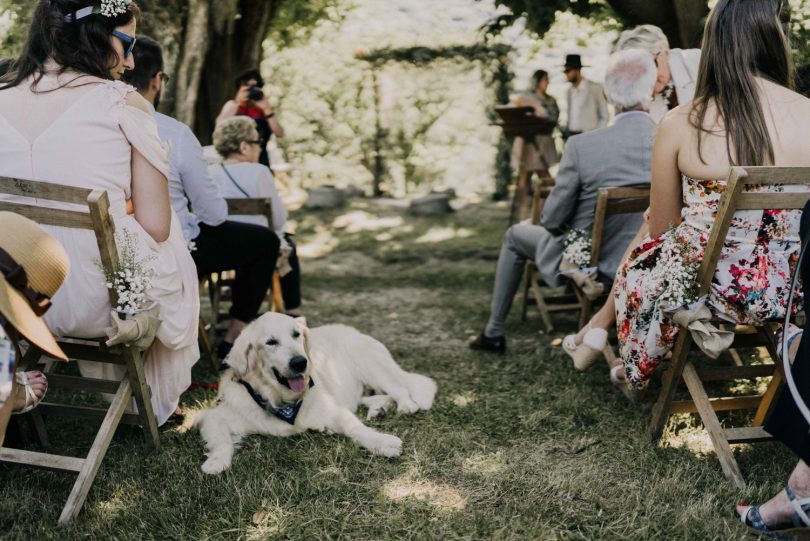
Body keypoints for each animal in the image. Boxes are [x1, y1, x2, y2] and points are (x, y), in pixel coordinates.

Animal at [193, 312, 436, 472]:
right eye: (271, 342)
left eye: (296, 334)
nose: (300, 362)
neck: (281, 400)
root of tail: (353, 331)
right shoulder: (214, 416)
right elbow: (221, 441)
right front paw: (216, 462)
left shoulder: (332, 410)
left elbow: (356, 428)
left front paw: (382, 442)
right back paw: (378, 409)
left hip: (372, 366)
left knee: (399, 387)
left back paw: (406, 405)